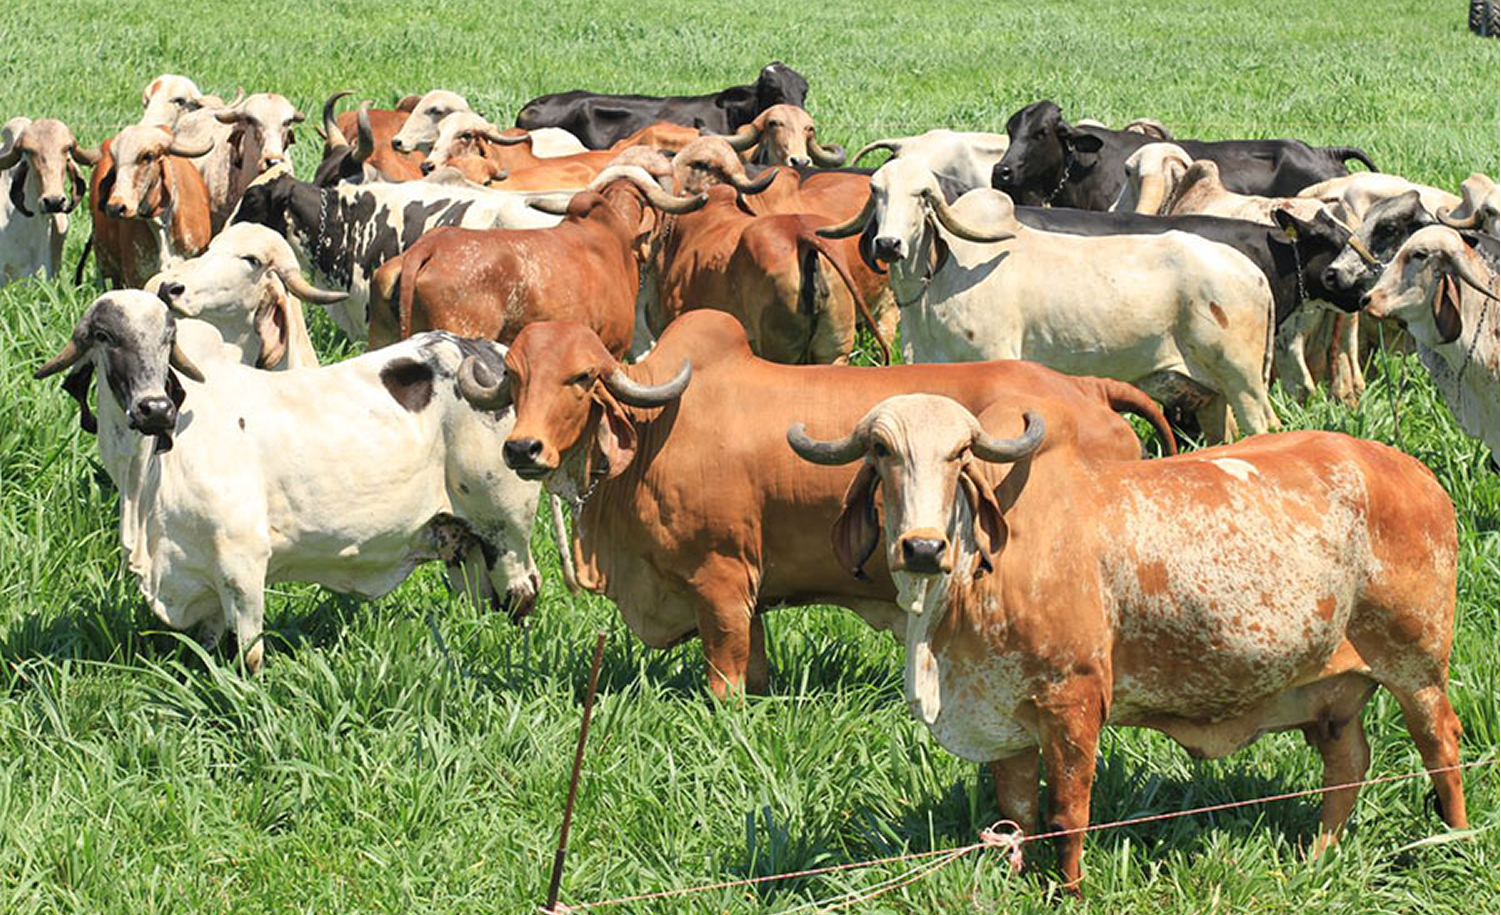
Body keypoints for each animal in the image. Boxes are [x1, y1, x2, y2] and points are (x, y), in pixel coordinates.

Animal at [35, 290, 542, 674]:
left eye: (168, 337)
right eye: (104, 337)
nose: (155, 409)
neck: (146, 480)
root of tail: (487, 352)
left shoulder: (241, 564)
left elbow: (248, 656)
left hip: (505, 525)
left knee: (523, 592)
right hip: (465, 541)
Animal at [453, 310, 1175, 696]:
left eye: (581, 378)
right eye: (515, 377)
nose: (522, 448)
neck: (656, 427)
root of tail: (1089, 388)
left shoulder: (718, 577)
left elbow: (722, 673)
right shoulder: (747, 589)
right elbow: (753, 664)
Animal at [789, 393, 1467, 892]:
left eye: (960, 455)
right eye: (881, 452)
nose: (923, 547)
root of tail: (1414, 472)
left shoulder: (1073, 700)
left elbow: (1067, 814)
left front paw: (1069, 891)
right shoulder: (1004, 711)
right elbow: (1017, 814)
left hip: (1416, 664)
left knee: (1442, 745)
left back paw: (1454, 841)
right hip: (1329, 690)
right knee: (1348, 764)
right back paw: (1317, 855)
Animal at [819, 159, 1278, 440]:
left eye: (922, 195)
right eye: (877, 191)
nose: (888, 244)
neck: (938, 286)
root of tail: (1252, 273)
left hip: (1243, 382)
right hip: (1211, 395)